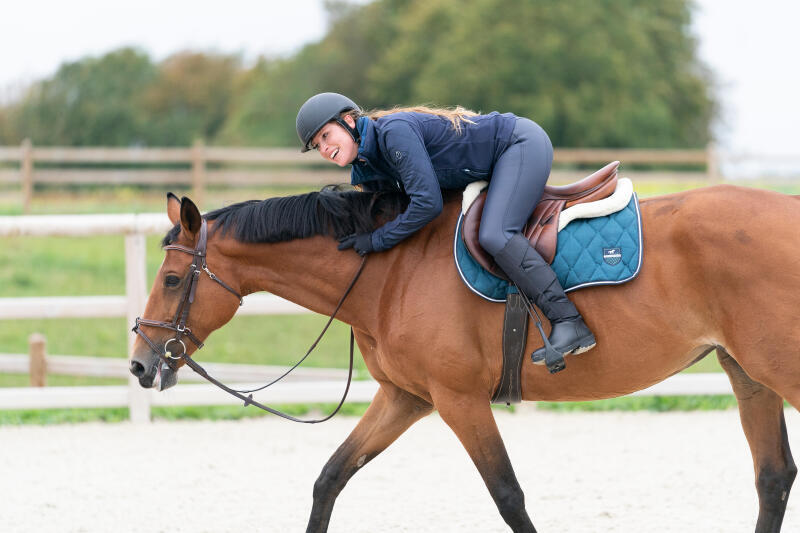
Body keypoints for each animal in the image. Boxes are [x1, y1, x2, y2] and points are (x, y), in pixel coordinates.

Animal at [128, 181, 800, 528]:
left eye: (171, 279)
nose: (139, 363)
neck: (391, 269)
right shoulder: (406, 398)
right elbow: (330, 479)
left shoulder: (459, 401)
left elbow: (508, 496)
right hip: (749, 375)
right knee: (773, 478)